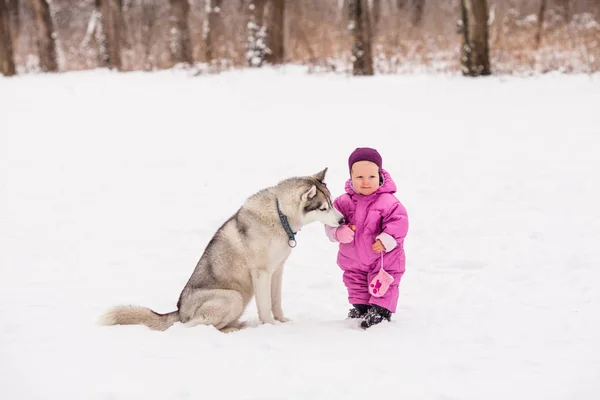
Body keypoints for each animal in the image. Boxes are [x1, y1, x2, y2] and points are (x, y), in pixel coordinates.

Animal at [102, 167, 342, 332]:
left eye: (331, 202)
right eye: (323, 208)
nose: (342, 220)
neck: (280, 214)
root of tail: (180, 311)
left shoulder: (277, 270)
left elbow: (276, 302)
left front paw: (283, 322)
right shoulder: (261, 273)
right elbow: (265, 305)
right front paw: (270, 327)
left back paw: (238, 325)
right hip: (233, 297)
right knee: (194, 326)